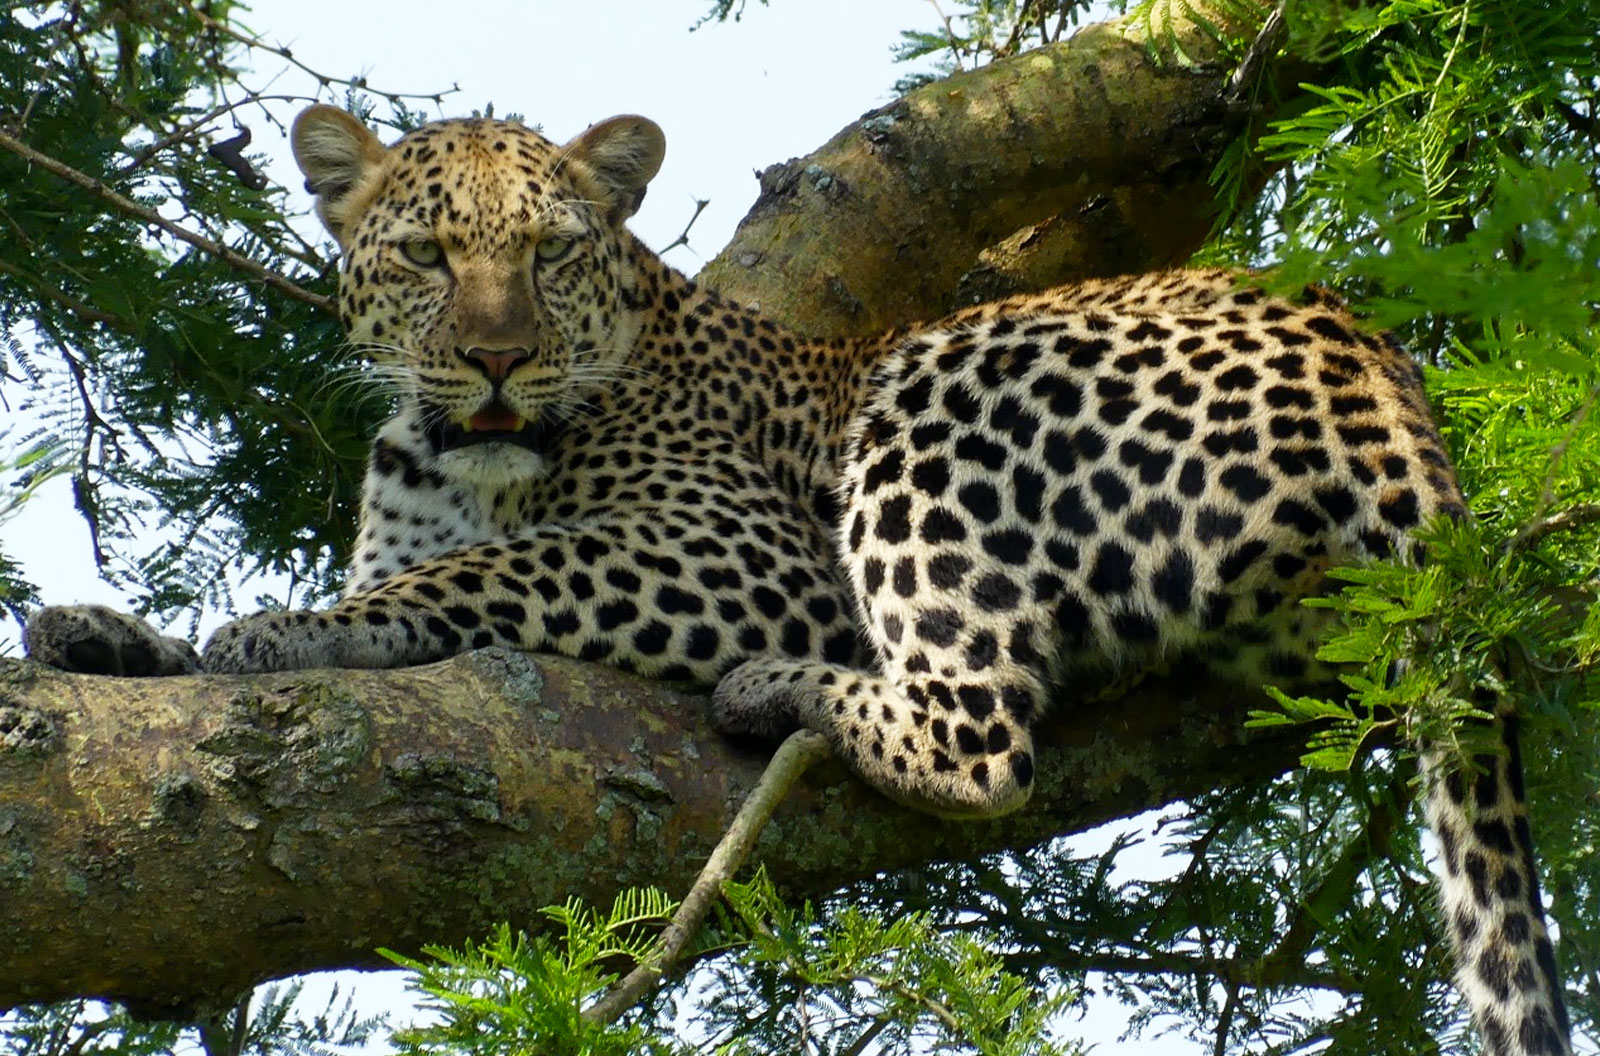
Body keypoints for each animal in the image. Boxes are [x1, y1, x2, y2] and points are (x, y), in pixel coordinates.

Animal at [21, 101, 1574, 1056]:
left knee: (981, 732)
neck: (448, 453)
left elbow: (482, 574)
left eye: (550, 252)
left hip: (937, 384)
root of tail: (1381, 369)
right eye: (423, 254)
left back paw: (783, 694)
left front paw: (288, 631)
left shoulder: (737, 551)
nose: (499, 361)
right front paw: (112, 635)